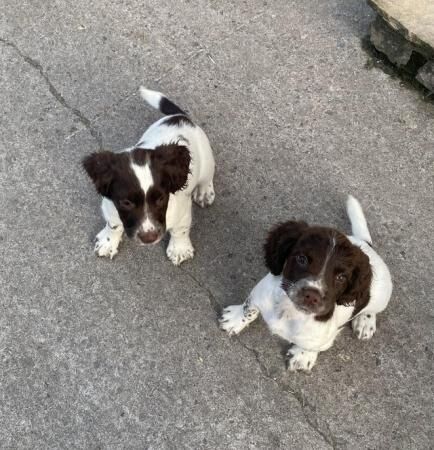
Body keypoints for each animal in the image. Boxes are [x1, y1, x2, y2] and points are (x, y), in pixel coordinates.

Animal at [82, 86, 214, 266]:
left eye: (160, 199)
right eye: (126, 202)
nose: (149, 238)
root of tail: (180, 117)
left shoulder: (183, 210)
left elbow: (180, 229)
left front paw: (179, 249)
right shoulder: (110, 206)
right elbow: (113, 224)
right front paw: (108, 242)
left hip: (207, 160)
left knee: (207, 177)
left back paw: (204, 192)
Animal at [220, 197, 394, 372]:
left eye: (341, 277)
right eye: (301, 259)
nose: (312, 295)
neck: (290, 311)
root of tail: (365, 245)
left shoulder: (323, 339)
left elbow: (311, 347)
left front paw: (302, 357)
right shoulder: (258, 295)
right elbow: (248, 308)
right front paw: (235, 319)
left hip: (381, 296)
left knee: (371, 309)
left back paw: (365, 320)